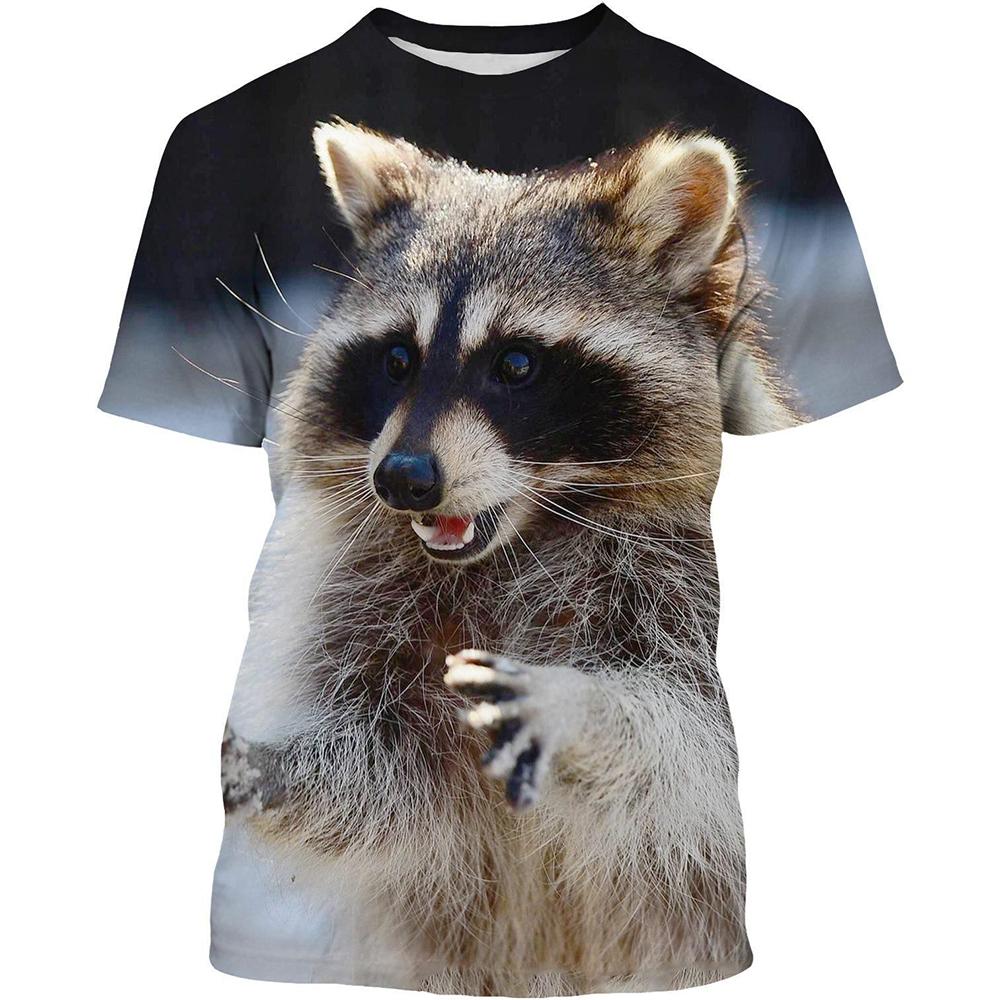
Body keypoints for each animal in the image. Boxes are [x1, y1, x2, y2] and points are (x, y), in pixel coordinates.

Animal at [222, 119, 797, 994]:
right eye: (396, 359)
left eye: (517, 364)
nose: (404, 479)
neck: (525, 535)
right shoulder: (366, 609)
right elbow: (386, 784)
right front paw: (285, 773)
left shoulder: (672, 586)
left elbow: (683, 742)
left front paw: (580, 708)